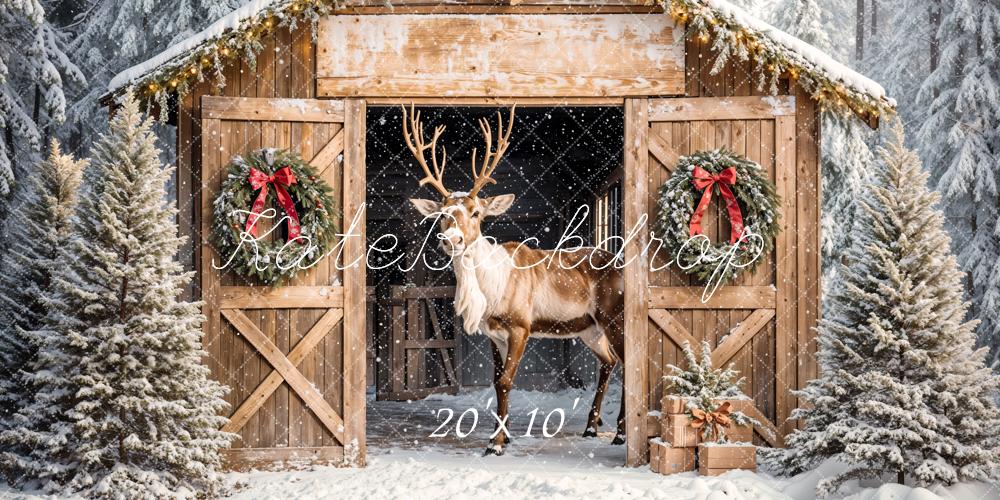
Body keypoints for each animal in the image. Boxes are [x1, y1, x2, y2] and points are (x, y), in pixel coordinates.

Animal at [402, 104, 626, 456]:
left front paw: (496, 444)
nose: (451, 239)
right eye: (442, 213)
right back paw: (591, 427)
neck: (490, 291)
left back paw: (620, 433)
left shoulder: (521, 325)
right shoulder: (493, 333)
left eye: (476, 212)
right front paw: (501, 436)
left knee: (630, 361)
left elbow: (507, 380)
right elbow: (496, 381)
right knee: (610, 361)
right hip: (589, 327)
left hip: (614, 316)